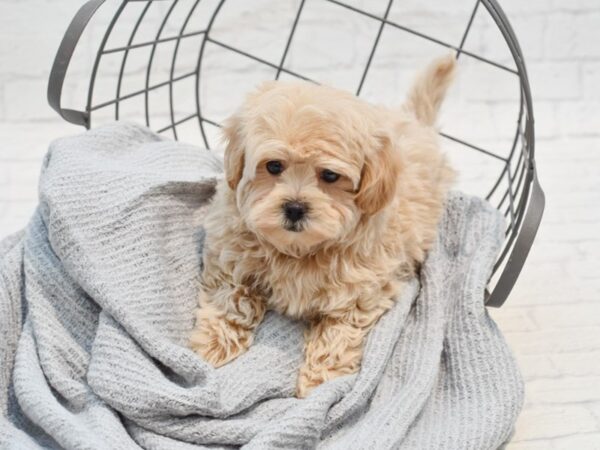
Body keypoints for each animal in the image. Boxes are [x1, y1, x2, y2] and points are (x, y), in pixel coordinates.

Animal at [190, 55, 458, 398]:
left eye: (330, 175)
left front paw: (320, 382)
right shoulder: (229, 254)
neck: (298, 249)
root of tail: (414, 121)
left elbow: (337, 334)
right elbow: (230, 298)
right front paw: (213, 343)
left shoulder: (360, 291)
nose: (294, 208)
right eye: (273, 166)